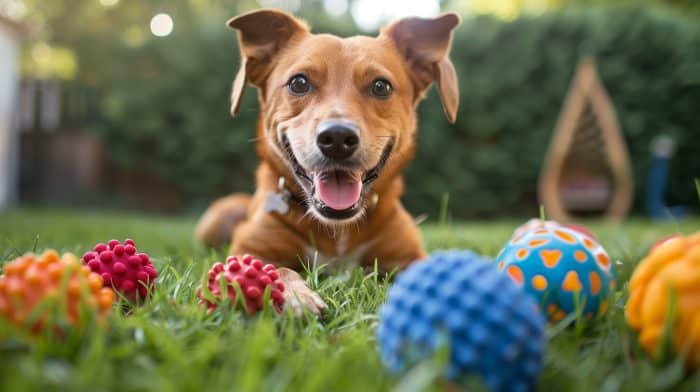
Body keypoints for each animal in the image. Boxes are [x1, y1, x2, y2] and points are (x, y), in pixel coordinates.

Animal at [197, 8, 460, 316]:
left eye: (381, 86)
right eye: (299, 82)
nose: (337, 137)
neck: (337, 230)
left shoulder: (409, 255)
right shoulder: (250, 250)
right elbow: (278, 269)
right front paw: (296, 296)